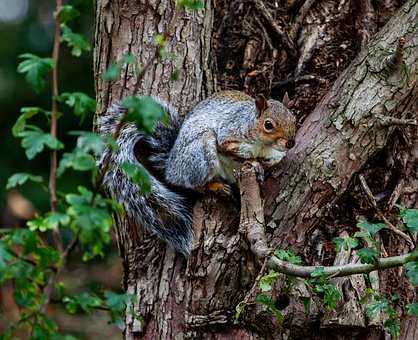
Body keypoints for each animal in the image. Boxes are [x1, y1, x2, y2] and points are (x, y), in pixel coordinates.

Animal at [96, 90, 296, 255]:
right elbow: (235, 152)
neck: (264, 145)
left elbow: (273, 160)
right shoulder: (228, 135)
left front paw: (263, 166)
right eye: (268, 125)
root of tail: (171, 166)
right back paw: (215, 187)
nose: (291, 143)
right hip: (201, 154)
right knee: (193, 184)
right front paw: (254, 162)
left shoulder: (275, 154)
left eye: (293, 119)